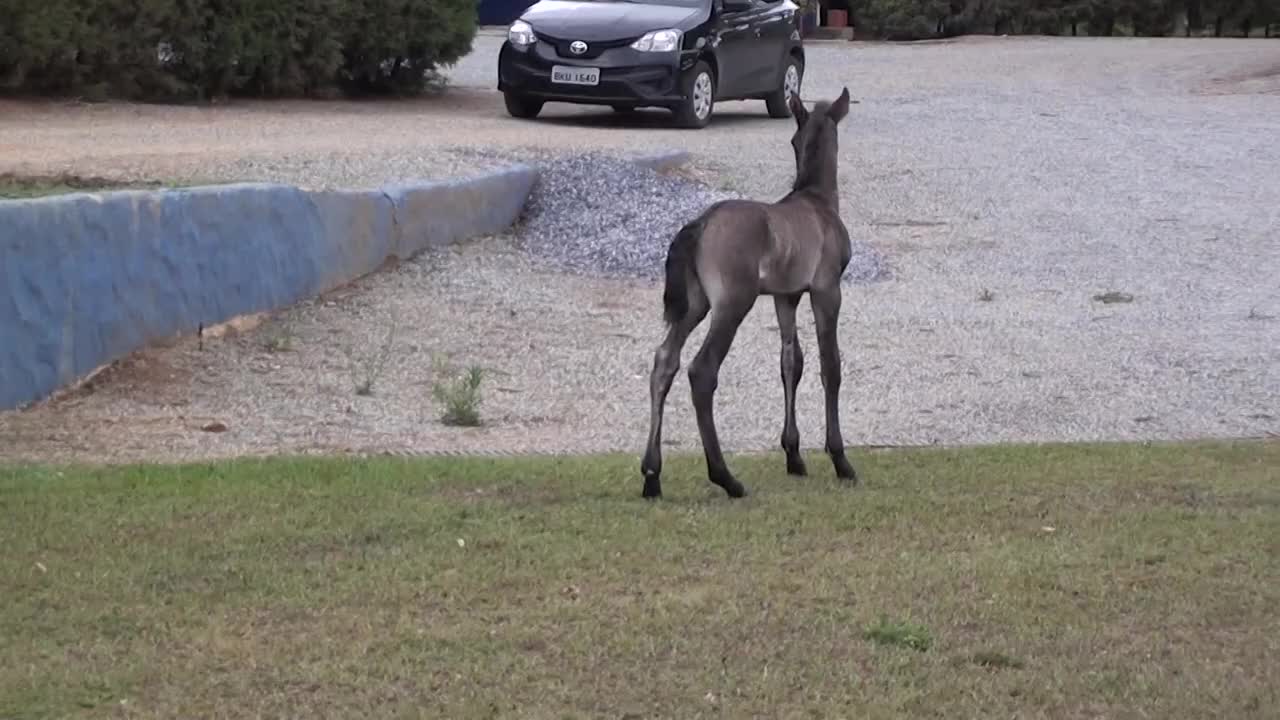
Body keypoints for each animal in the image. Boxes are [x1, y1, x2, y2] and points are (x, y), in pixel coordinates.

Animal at [640, 85, 860, 499]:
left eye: (793, 140)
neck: (817, 201)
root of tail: (699, 224)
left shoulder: (785, 296)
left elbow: (791, 362)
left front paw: (794, 456)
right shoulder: (827, 290)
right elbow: (831, 365)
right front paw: (841, 460)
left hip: (695, 304)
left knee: (664, 361)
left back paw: (651, 476)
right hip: (732, 303)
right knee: (702, 370)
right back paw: (726, 478)